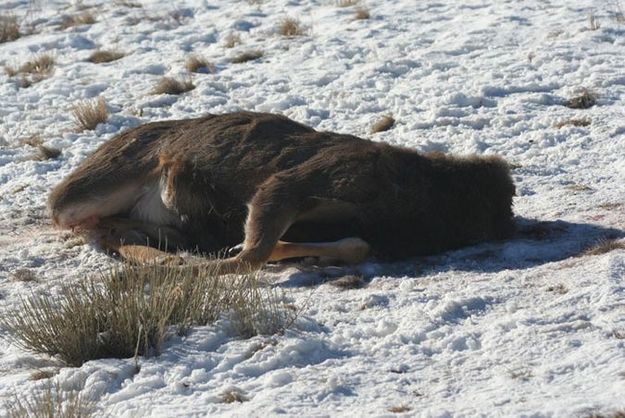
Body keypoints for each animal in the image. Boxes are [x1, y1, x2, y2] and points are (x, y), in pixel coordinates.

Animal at [48, 112, 516, 274]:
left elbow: (355, 245)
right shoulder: (292, 183)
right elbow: (249, 254)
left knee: (113, 230)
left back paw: (164, 248)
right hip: (89, 188)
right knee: (77, 220)